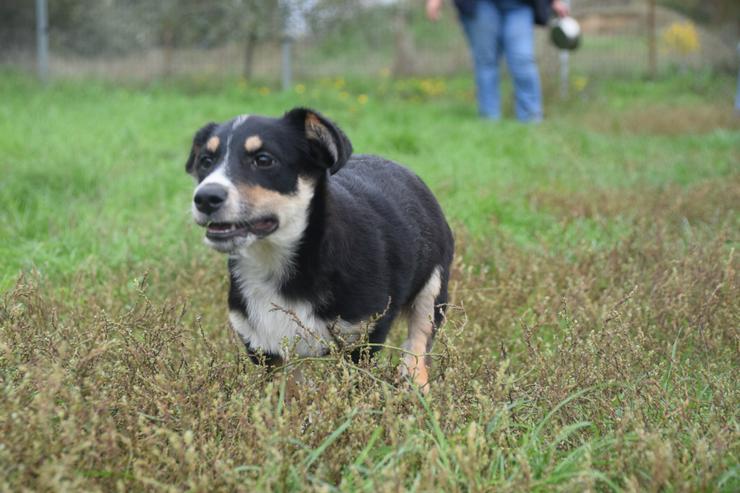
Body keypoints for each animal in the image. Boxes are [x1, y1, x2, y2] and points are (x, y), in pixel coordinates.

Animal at [184, 107, 456, 388]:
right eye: (206, 161)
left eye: (263, 159)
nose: (205, 198)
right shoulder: (265, 345)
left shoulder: (362, 336)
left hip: (433, 291)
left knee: (417, 349)